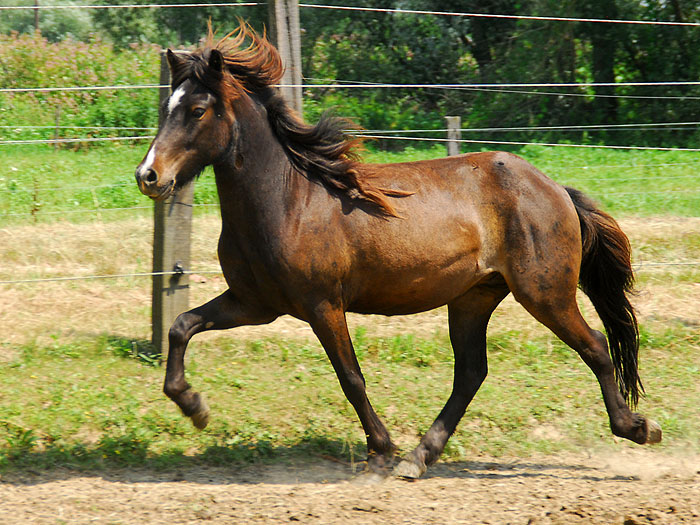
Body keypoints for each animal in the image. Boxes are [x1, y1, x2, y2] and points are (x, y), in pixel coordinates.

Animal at [134, 23, 661, 479]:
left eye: (197, 110)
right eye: (167, 107)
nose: (148, 176)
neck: (289, 200)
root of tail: (556, 190)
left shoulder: (322, 305)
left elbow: (351, 377)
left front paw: (380, 450)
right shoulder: (255, 303)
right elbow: (181, 326)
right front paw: (194, 406)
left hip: (544, 293)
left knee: (595, 346)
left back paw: (638, 427)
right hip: (473, 298)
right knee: (471, 373)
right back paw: (419, 457)